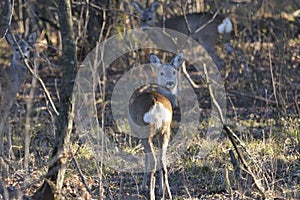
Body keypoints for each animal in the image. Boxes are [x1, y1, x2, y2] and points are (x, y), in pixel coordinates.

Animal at [0, 31, 37, 159]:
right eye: (16, 49)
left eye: (28, 48)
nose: (23, 57)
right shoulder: (6, 101)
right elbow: (4, 127)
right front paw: (8, 155)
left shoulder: (7, 104)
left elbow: (6, 127)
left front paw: (8, 154)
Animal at [128, 52, 184, 200]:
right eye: (162, 72)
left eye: (174, 71)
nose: (170, 83)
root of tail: (156, 104)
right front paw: (161, 189)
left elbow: (147, 158)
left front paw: (145, 186)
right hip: (165, 130)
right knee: (162, 159)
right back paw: (168, 194)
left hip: (145, 131)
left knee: (152, 159)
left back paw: (151, 193)